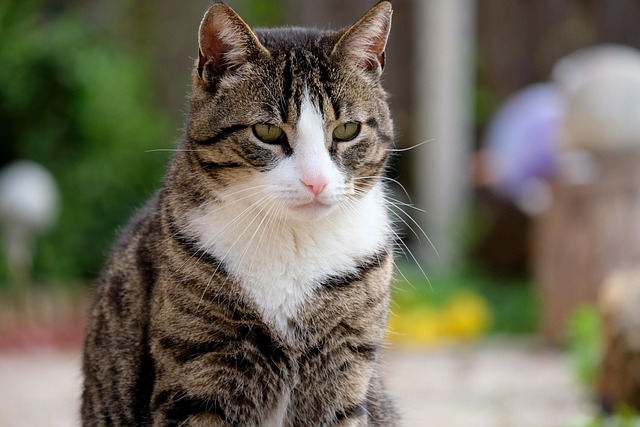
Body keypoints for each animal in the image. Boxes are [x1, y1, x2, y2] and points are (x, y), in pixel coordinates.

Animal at [82, 1, 398, 426]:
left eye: (347, 129)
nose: (315, 182)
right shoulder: (200, 370)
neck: (295, 241)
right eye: (267, 131)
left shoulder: (345, 365)